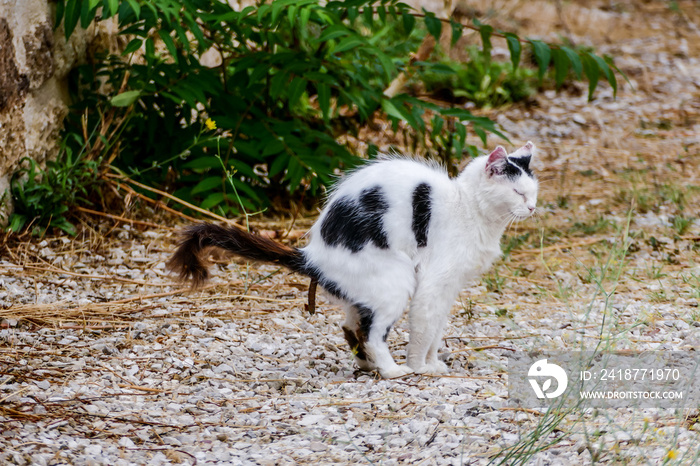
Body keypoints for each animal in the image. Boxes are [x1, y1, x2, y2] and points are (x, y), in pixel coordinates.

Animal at [167, 142, 540, 378]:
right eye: (518, 192)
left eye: (533, 192)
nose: (533, 207)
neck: (469, 209)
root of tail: (313, 255)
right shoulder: (434, 284)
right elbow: (424, 329)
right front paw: (420, 366)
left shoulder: (449, 289)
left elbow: (436, 330)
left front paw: (433, 363)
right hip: (396, 279)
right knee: (371, 333)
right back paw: (392, 371)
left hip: (367, 290)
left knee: (352, 326)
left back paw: (368, 365)